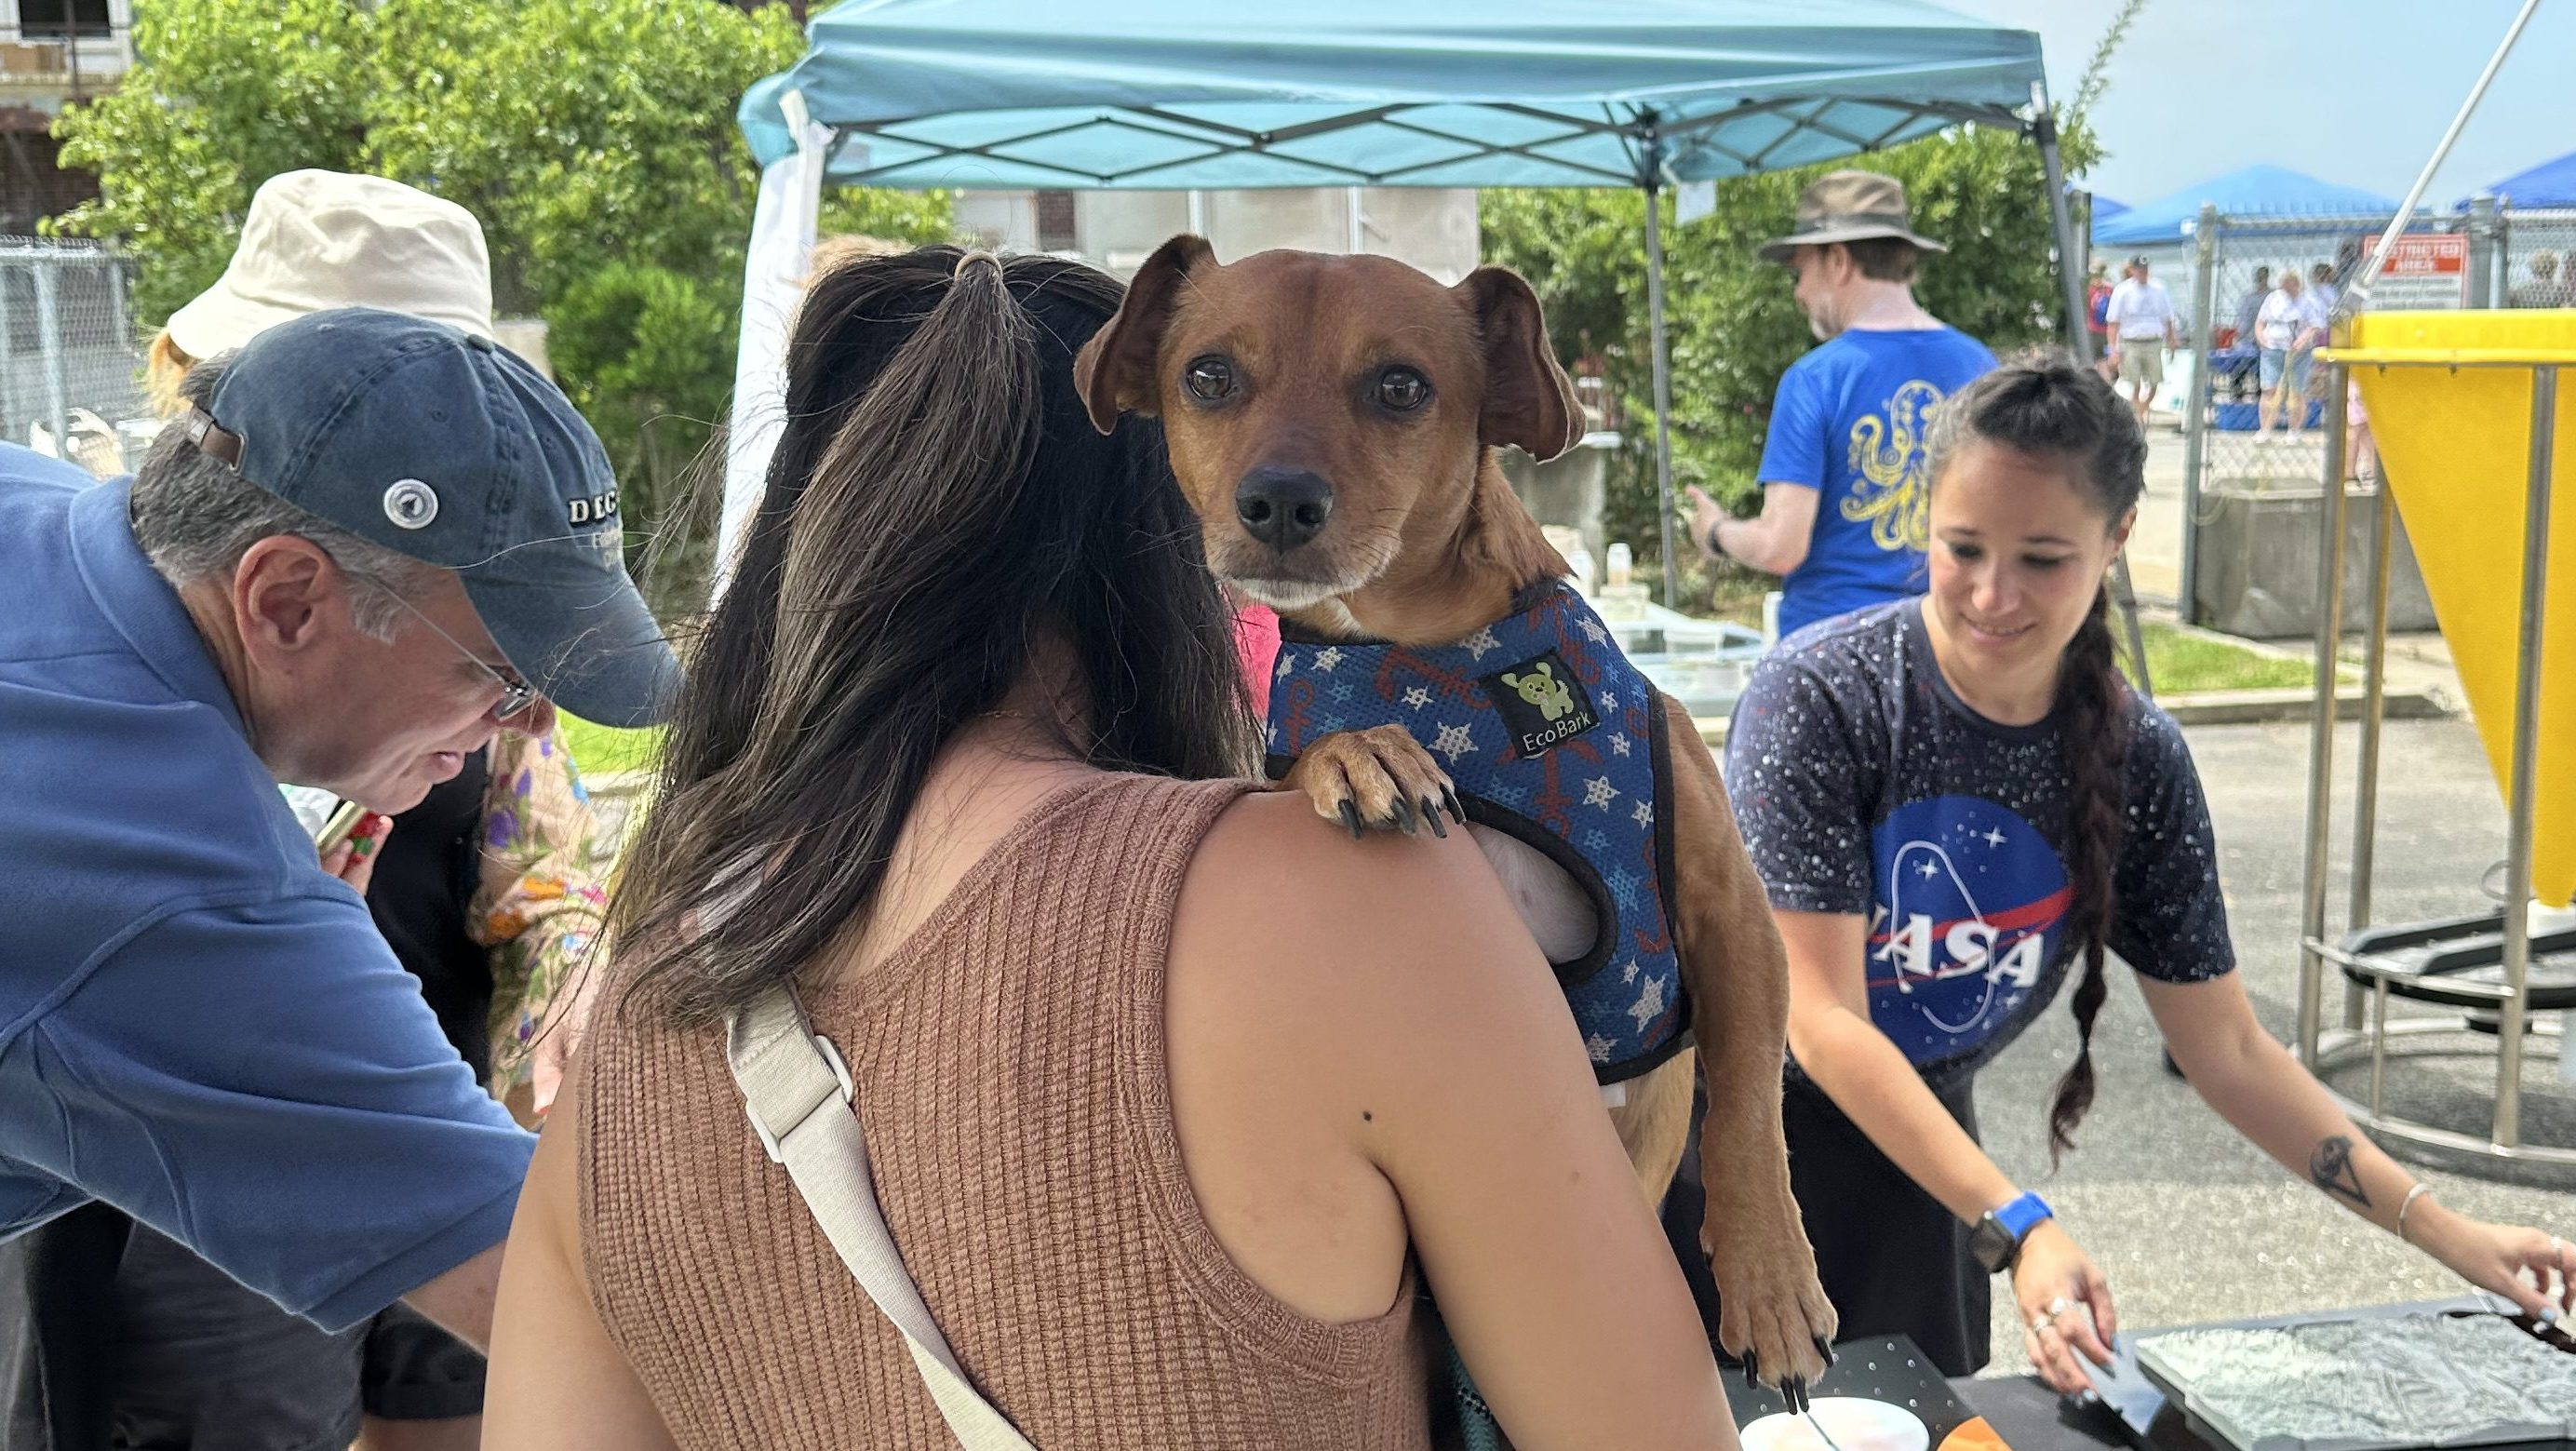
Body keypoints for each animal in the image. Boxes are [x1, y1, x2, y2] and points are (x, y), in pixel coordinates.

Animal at [1077, 235, 1844, 1391]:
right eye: (1206, 376)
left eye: (1400, 386)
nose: (1278, 499)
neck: (1425, 651)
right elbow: (1304, 760)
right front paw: (1358, 750)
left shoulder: (1734, 917)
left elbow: (1751, 1105)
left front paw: (1771, 1281)